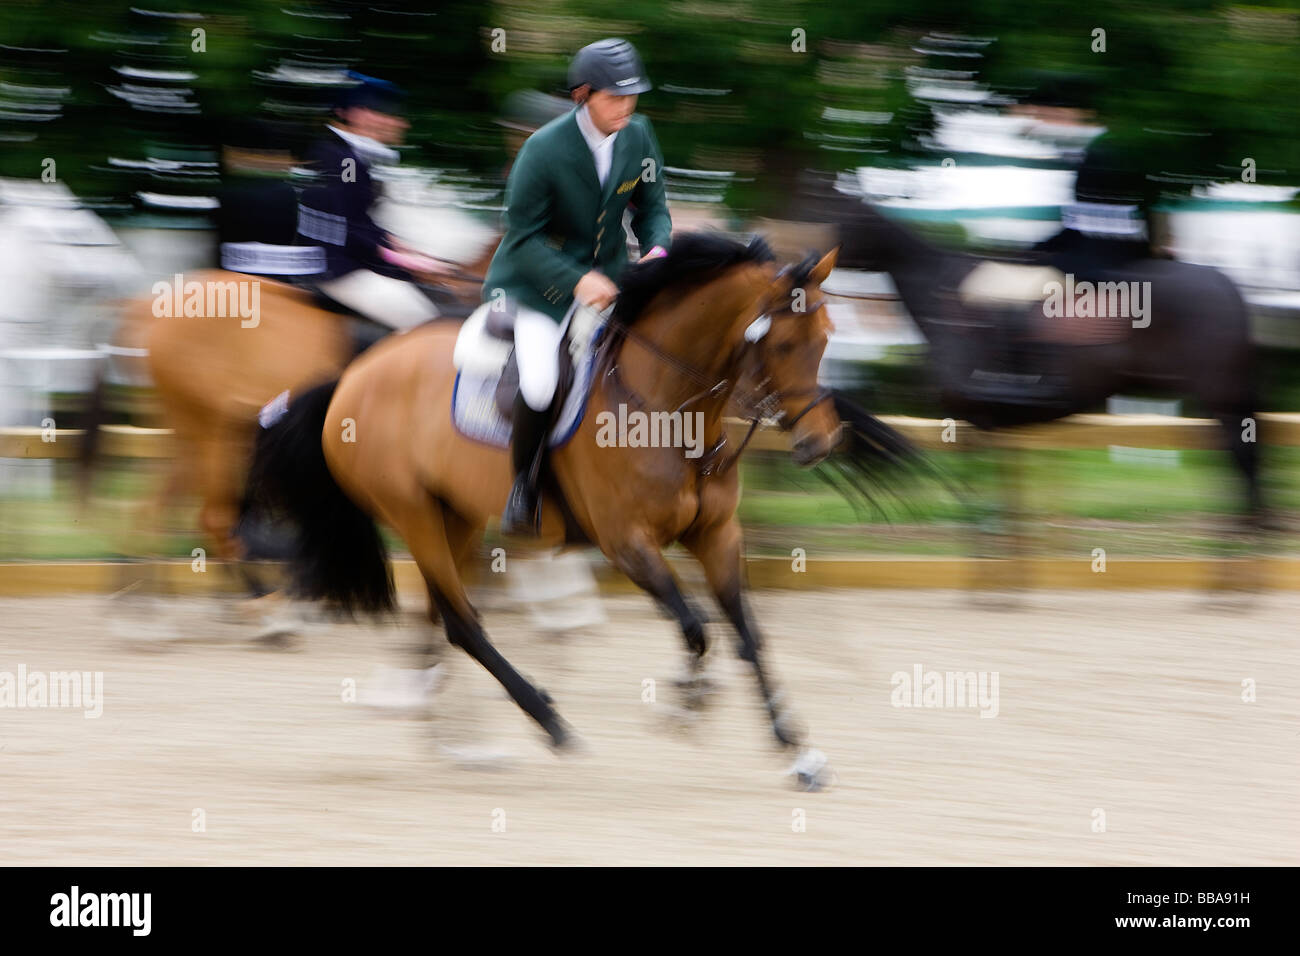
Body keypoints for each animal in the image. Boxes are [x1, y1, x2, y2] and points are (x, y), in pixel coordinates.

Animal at [245, 234, 925, 785]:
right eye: (782, 344)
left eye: (827, 338)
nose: (820, 444)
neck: (672, 409)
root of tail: (353, 374)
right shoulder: (626, 542)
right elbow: (696, 627)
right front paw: (685, 702)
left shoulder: (716, 536)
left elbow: (749, 636)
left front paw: (795, 751)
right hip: (413, 513)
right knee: (464, 624)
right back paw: (547, 720)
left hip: (455, 517)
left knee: (439, 619)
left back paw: (462, 747)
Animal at [821, 195, 1258, 522]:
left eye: (831, 220)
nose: (807, 268)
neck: (941, 294)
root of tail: (1224, 283)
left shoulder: (979, 417)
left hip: (1224, 398)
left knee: (1244, 464)